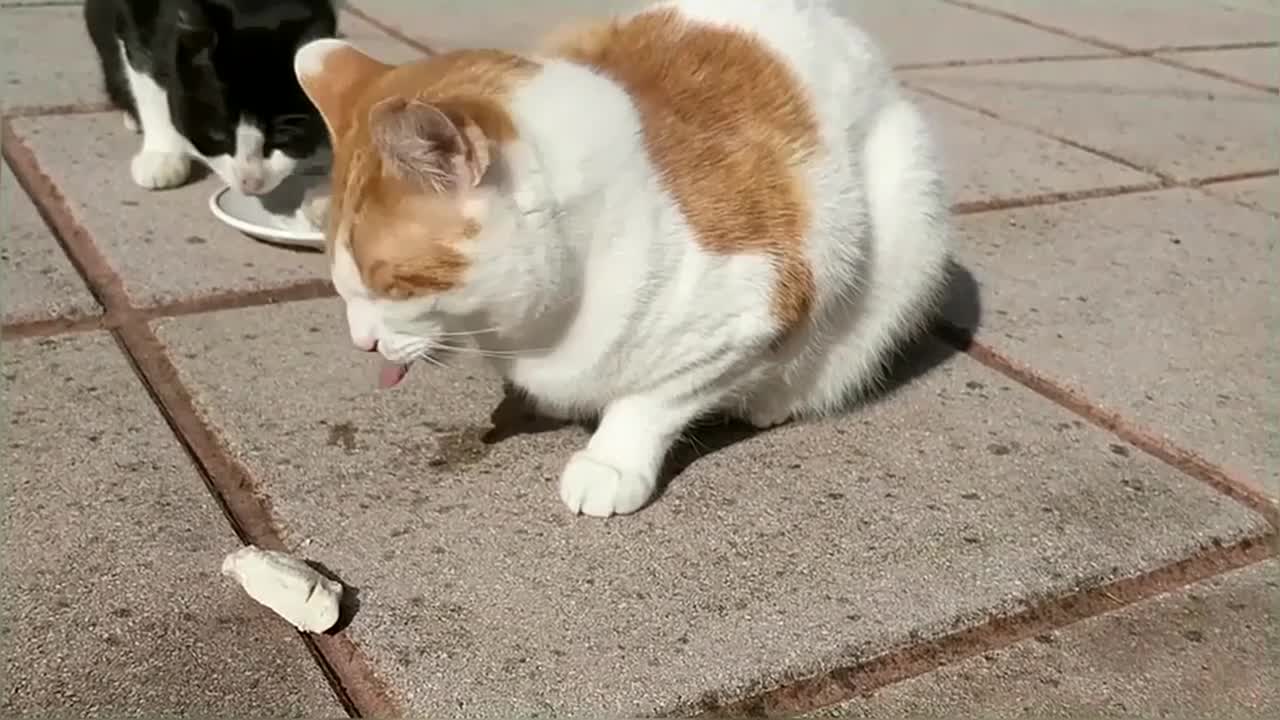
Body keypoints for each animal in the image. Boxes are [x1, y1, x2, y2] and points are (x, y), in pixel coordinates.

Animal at [293, 0, 952, 515]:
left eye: (391, 283)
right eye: (340, 282)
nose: (362, 343)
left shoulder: (750, 312)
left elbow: (651, 399)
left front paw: (610, 461)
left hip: (906, 217)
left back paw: (771, 401)